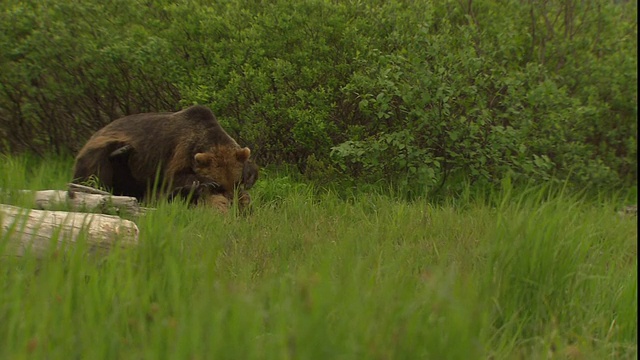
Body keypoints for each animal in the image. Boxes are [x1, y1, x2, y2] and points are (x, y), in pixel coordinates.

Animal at [74, 105, 254, 204]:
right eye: (221, 185)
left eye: (236, 182)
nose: (232, 200)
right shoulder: (180, 149)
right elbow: (174, 176)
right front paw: (207, 182)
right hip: (100, 152)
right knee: (97, 173)